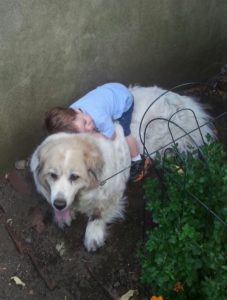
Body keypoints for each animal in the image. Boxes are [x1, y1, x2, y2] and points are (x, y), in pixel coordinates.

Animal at [30, 86, 215, 251]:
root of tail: (184, 101)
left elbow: (98, 213)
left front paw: (93, 235)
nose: (60, 204)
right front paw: (62, 215)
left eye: (74, 177)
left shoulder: (112, 192)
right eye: (52, 175)